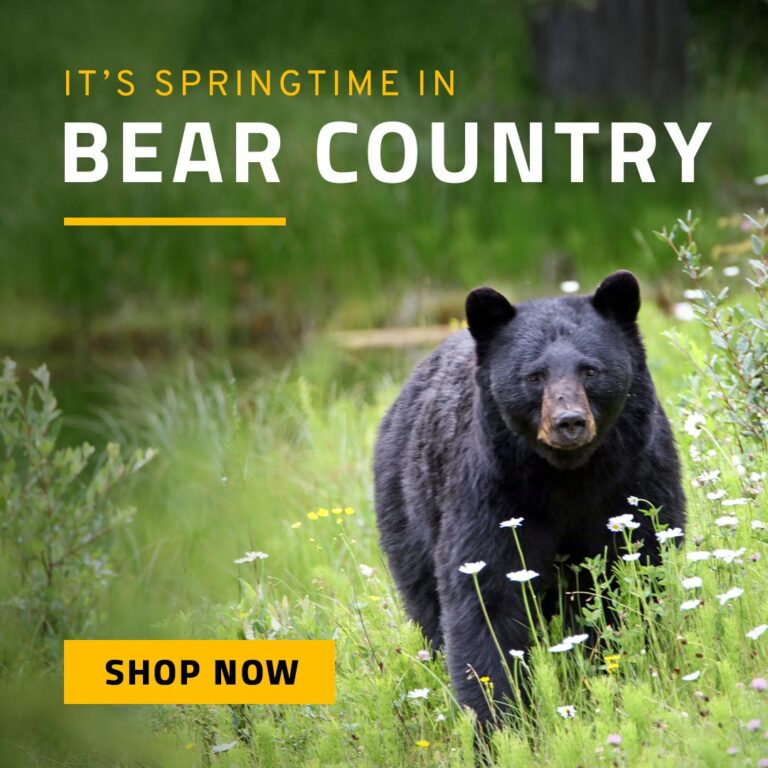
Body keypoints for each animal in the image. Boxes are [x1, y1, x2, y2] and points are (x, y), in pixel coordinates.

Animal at [374, 271, 685, 724]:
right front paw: (498, 718)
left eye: (590, 370)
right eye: (534, 376)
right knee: (426, 602)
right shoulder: (490, 492)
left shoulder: (637, 480)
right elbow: (486, 598)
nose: (569, 422)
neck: (567, 478)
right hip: (407, 509)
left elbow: (638, 569)